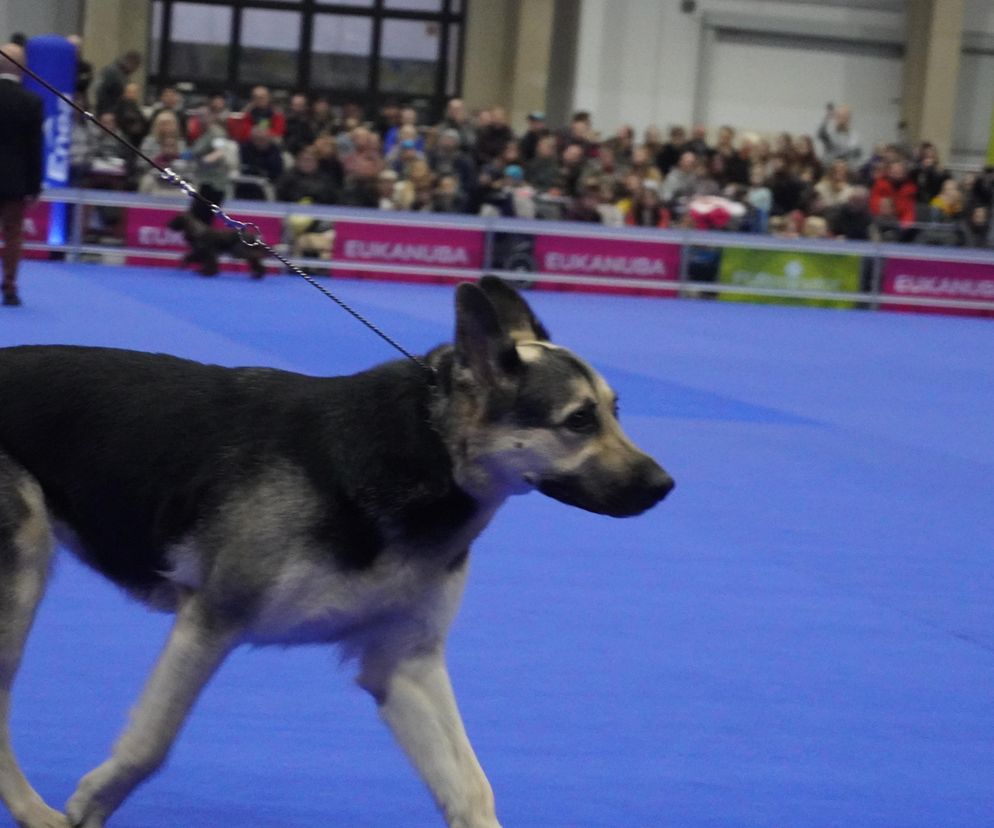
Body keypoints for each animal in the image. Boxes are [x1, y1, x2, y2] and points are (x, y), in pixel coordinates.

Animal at [0, 274, 676, 824]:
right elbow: (150, 745)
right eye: (579, 421)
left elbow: (471, 790)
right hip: (21, 583)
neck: (425, 454)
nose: (665, 486)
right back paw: (34, 811)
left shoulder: (404, 664)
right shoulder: (210, 624)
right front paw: (92, 801)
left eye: (615, 411)